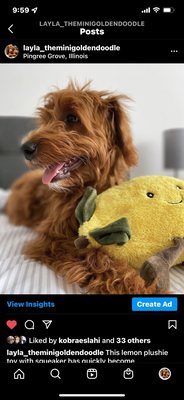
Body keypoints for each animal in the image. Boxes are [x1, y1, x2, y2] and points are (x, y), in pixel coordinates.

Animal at [5, 81, 157, 294]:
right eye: (45, 120)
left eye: (72, 118)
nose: (25, 148)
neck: (87, 188)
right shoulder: (53, 238)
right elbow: (94, 255)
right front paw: (137, 283)